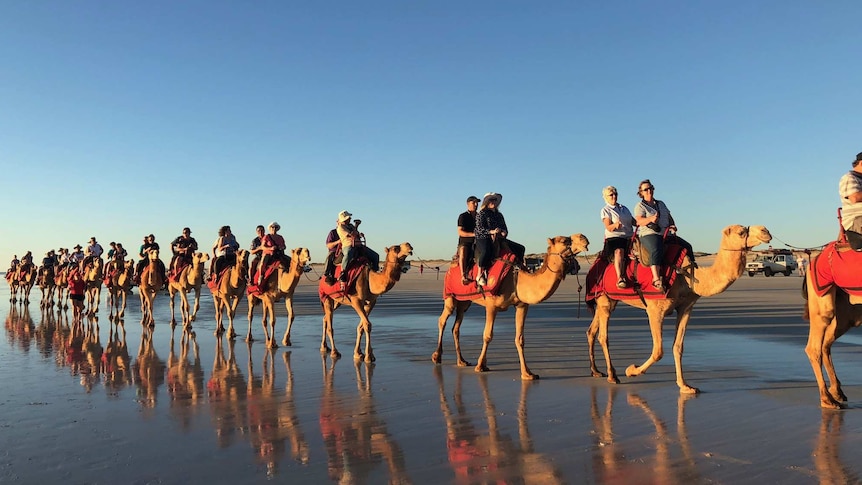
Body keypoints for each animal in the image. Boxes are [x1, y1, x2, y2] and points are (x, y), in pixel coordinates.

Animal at [430, 233, 588, 378]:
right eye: (564, 240)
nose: (584, 238)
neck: (516, 279)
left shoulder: (522, 306)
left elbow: (520, 339)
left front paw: (527, 373)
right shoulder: (491, 305)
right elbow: (487, 335)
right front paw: (480, 366)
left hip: (464, 302)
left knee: (456, 327)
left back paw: (461, 361)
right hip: (450, 297)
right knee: (442, 320)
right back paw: (437, 357)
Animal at [588, 223, 776, 394]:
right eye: (741, 231)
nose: (766, 231)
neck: (688, 275)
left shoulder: (686, 308)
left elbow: (678, 347)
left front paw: (685, 386)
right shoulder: (655, 310)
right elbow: (658, 350)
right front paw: (631, 370)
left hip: (608, 300)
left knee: (592, 331)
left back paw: (596, 372)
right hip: (605, 299)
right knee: (603, 336)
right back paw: (613, 376)